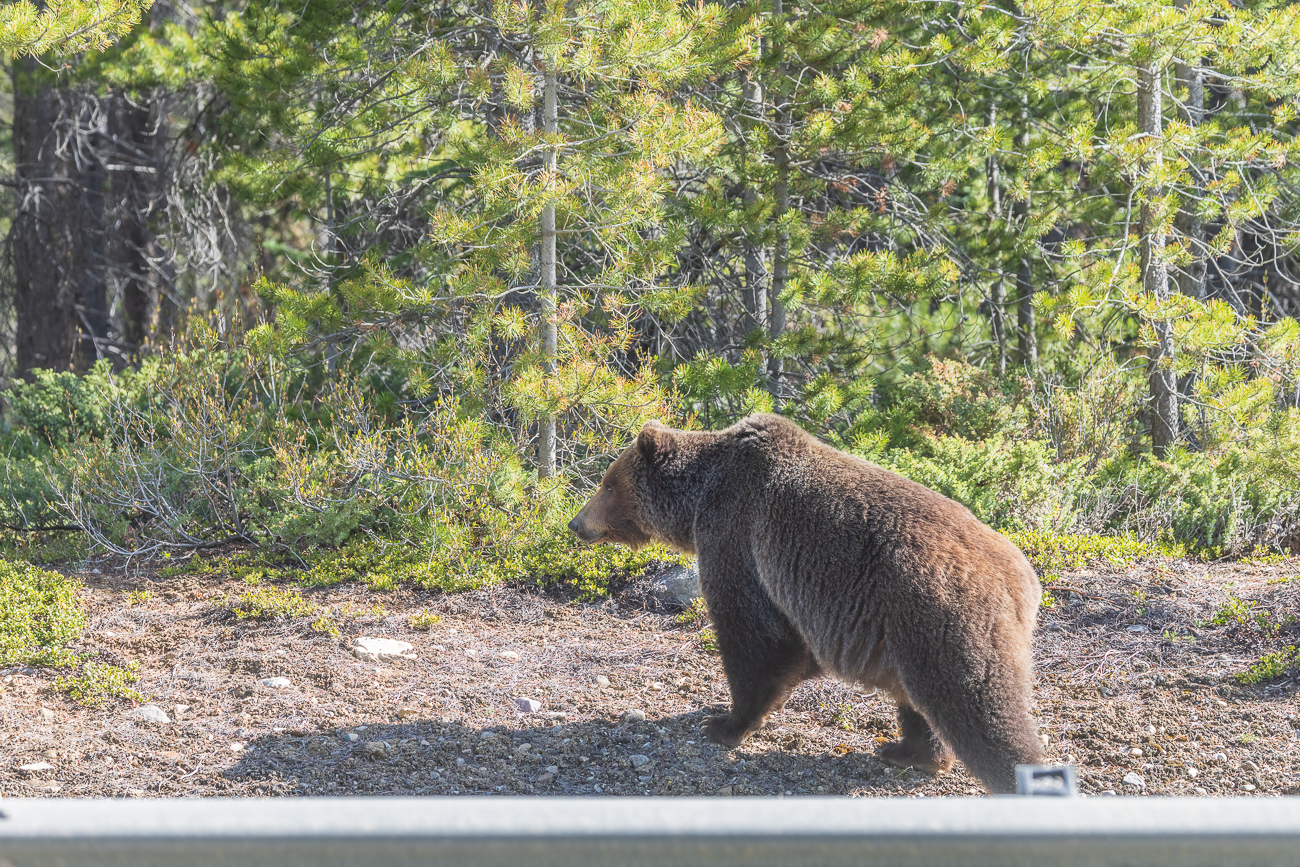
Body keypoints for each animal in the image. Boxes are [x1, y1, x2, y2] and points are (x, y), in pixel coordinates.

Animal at [568, 413, 1043, 793]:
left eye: (608, 484)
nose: (576, 523)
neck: (699, 497)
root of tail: (1024, 582)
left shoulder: (738, 535)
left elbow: (756, 635)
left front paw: (725, 723)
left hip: (943, 621)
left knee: (980, 710)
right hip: (912, 636)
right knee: (919, 705)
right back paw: (905, 752)